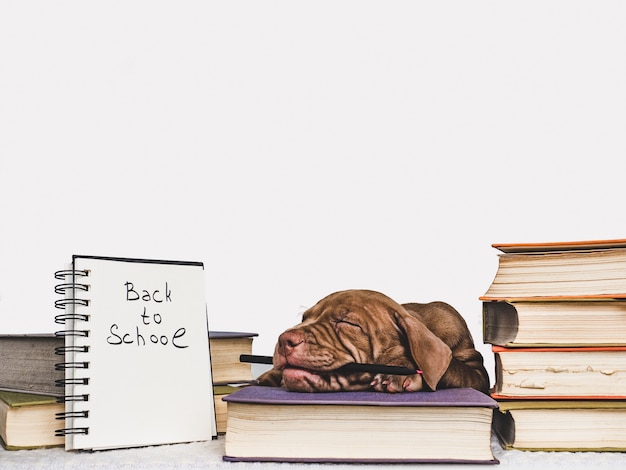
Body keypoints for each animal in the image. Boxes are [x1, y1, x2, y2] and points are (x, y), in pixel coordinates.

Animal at [256, 290, 490, 392]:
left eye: (347, 322)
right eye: (304, 319)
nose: (284, 339)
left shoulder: (476, 371)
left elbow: (452, 367)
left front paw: (397, 371)